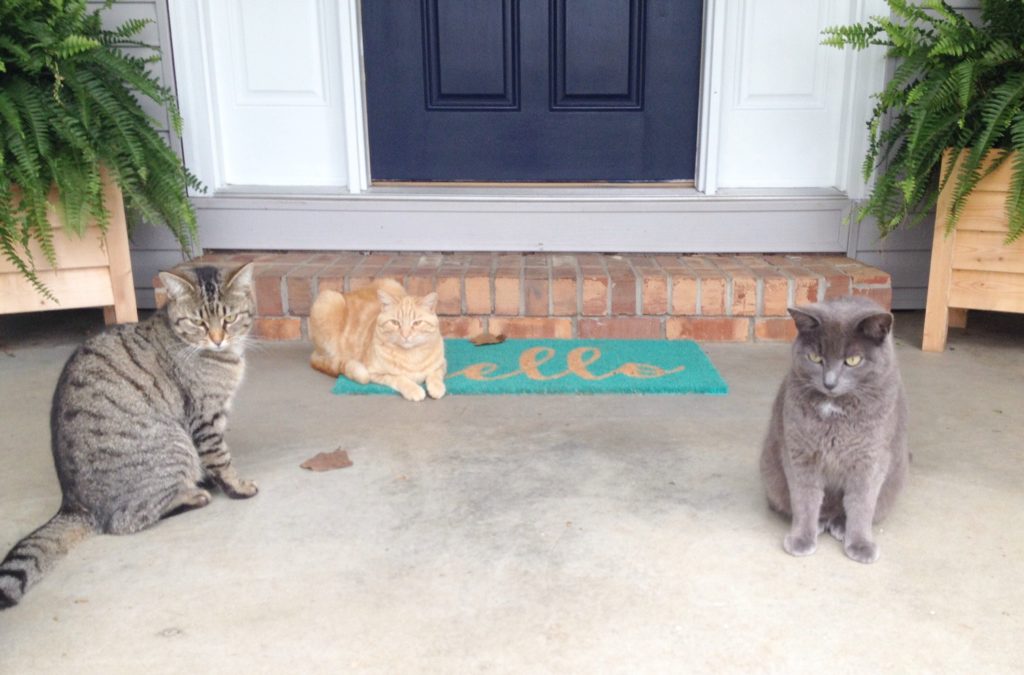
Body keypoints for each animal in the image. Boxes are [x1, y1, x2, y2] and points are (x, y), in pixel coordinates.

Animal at [1, 262, 256, 606]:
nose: (217, 339)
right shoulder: (206, 419)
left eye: (229, 318)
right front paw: (238, 486)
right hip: (174, 445)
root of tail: (73, 504)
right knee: (125, 521)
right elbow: (221, 460)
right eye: (198, 322)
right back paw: (192, 495)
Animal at [305, 280, 446, 401]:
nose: (405, 335)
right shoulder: (375, 373)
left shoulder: (442, 365)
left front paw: (437, 387)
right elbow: (399, 378)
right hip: (328, 300)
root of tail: (348, 293)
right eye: (395, 323)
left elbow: (434, 375)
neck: (411, 356)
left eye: (416, 323)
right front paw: (414, 389)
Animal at [761, 294, 913, 565]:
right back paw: (822, 521)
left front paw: (861, 544)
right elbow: (805, 498)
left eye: (853, 360)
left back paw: (841, 525)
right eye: (815, 358)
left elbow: (862, 503)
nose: (829, 382)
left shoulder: (870, 459)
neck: (835, 410)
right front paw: (801, 539)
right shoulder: (800, 454)